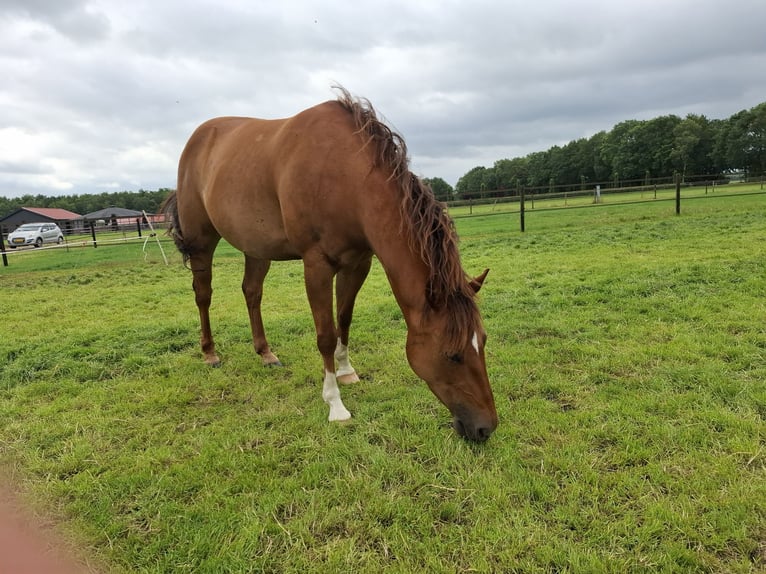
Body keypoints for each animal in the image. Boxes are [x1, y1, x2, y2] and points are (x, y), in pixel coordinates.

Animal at [161, 87, 498, 442]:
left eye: (483, 341)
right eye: (452, 355)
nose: (485, 427)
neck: (344, 176)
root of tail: (198, 138)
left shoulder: (358, 263)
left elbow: (343, 321)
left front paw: (347, 371)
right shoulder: (317, 266)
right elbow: (325, 334)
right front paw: (335, 404)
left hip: (256, 247)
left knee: (252, 292)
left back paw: (265, 353)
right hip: (202, 242)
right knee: (203, 295)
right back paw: (210, 353)